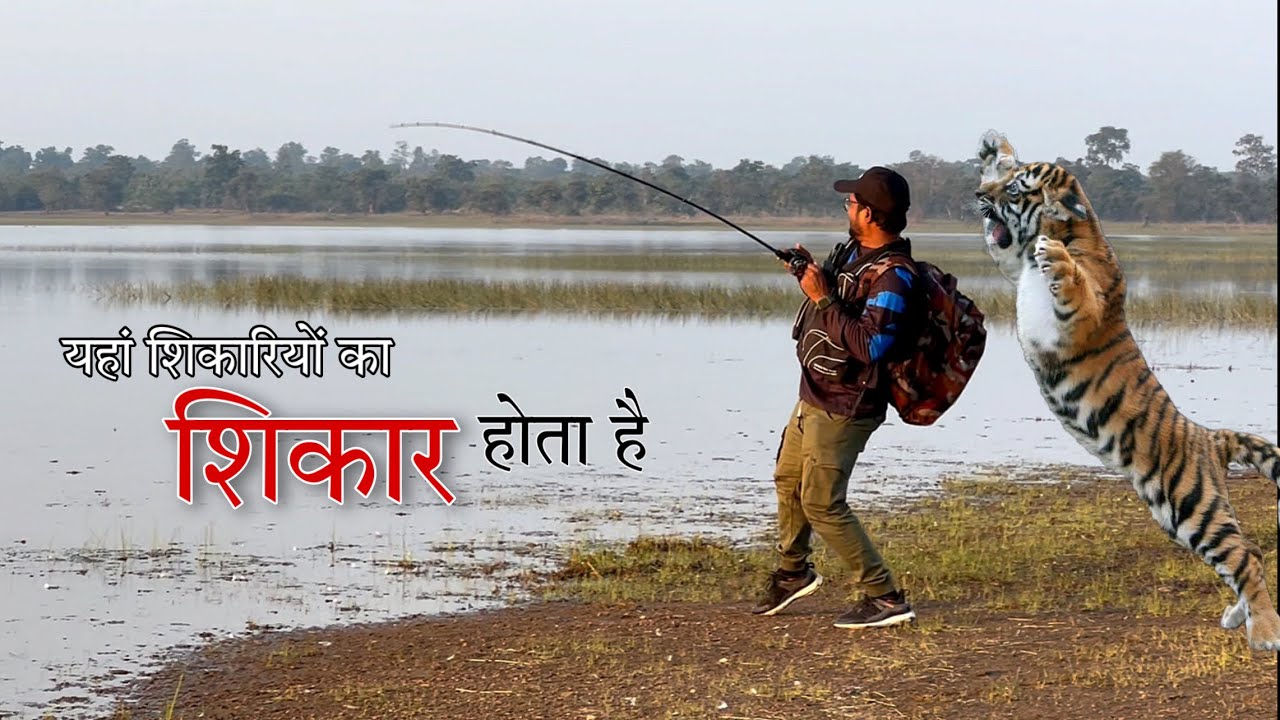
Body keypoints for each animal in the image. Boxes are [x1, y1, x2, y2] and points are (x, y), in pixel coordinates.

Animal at [973, 130, 1280, 652]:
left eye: (1014, 192)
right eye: (1003, 183)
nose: (978, 196)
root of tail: (1210, 437)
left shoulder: (1080, 316)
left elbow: (1072, 284)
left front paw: (1057, 258)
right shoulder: (1012, 263)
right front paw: (996, 148)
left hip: (1194, 506)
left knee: (1246, 557)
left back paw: (1264, 633)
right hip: (1176, 519)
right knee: (1248, 553)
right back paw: (1237, 617)